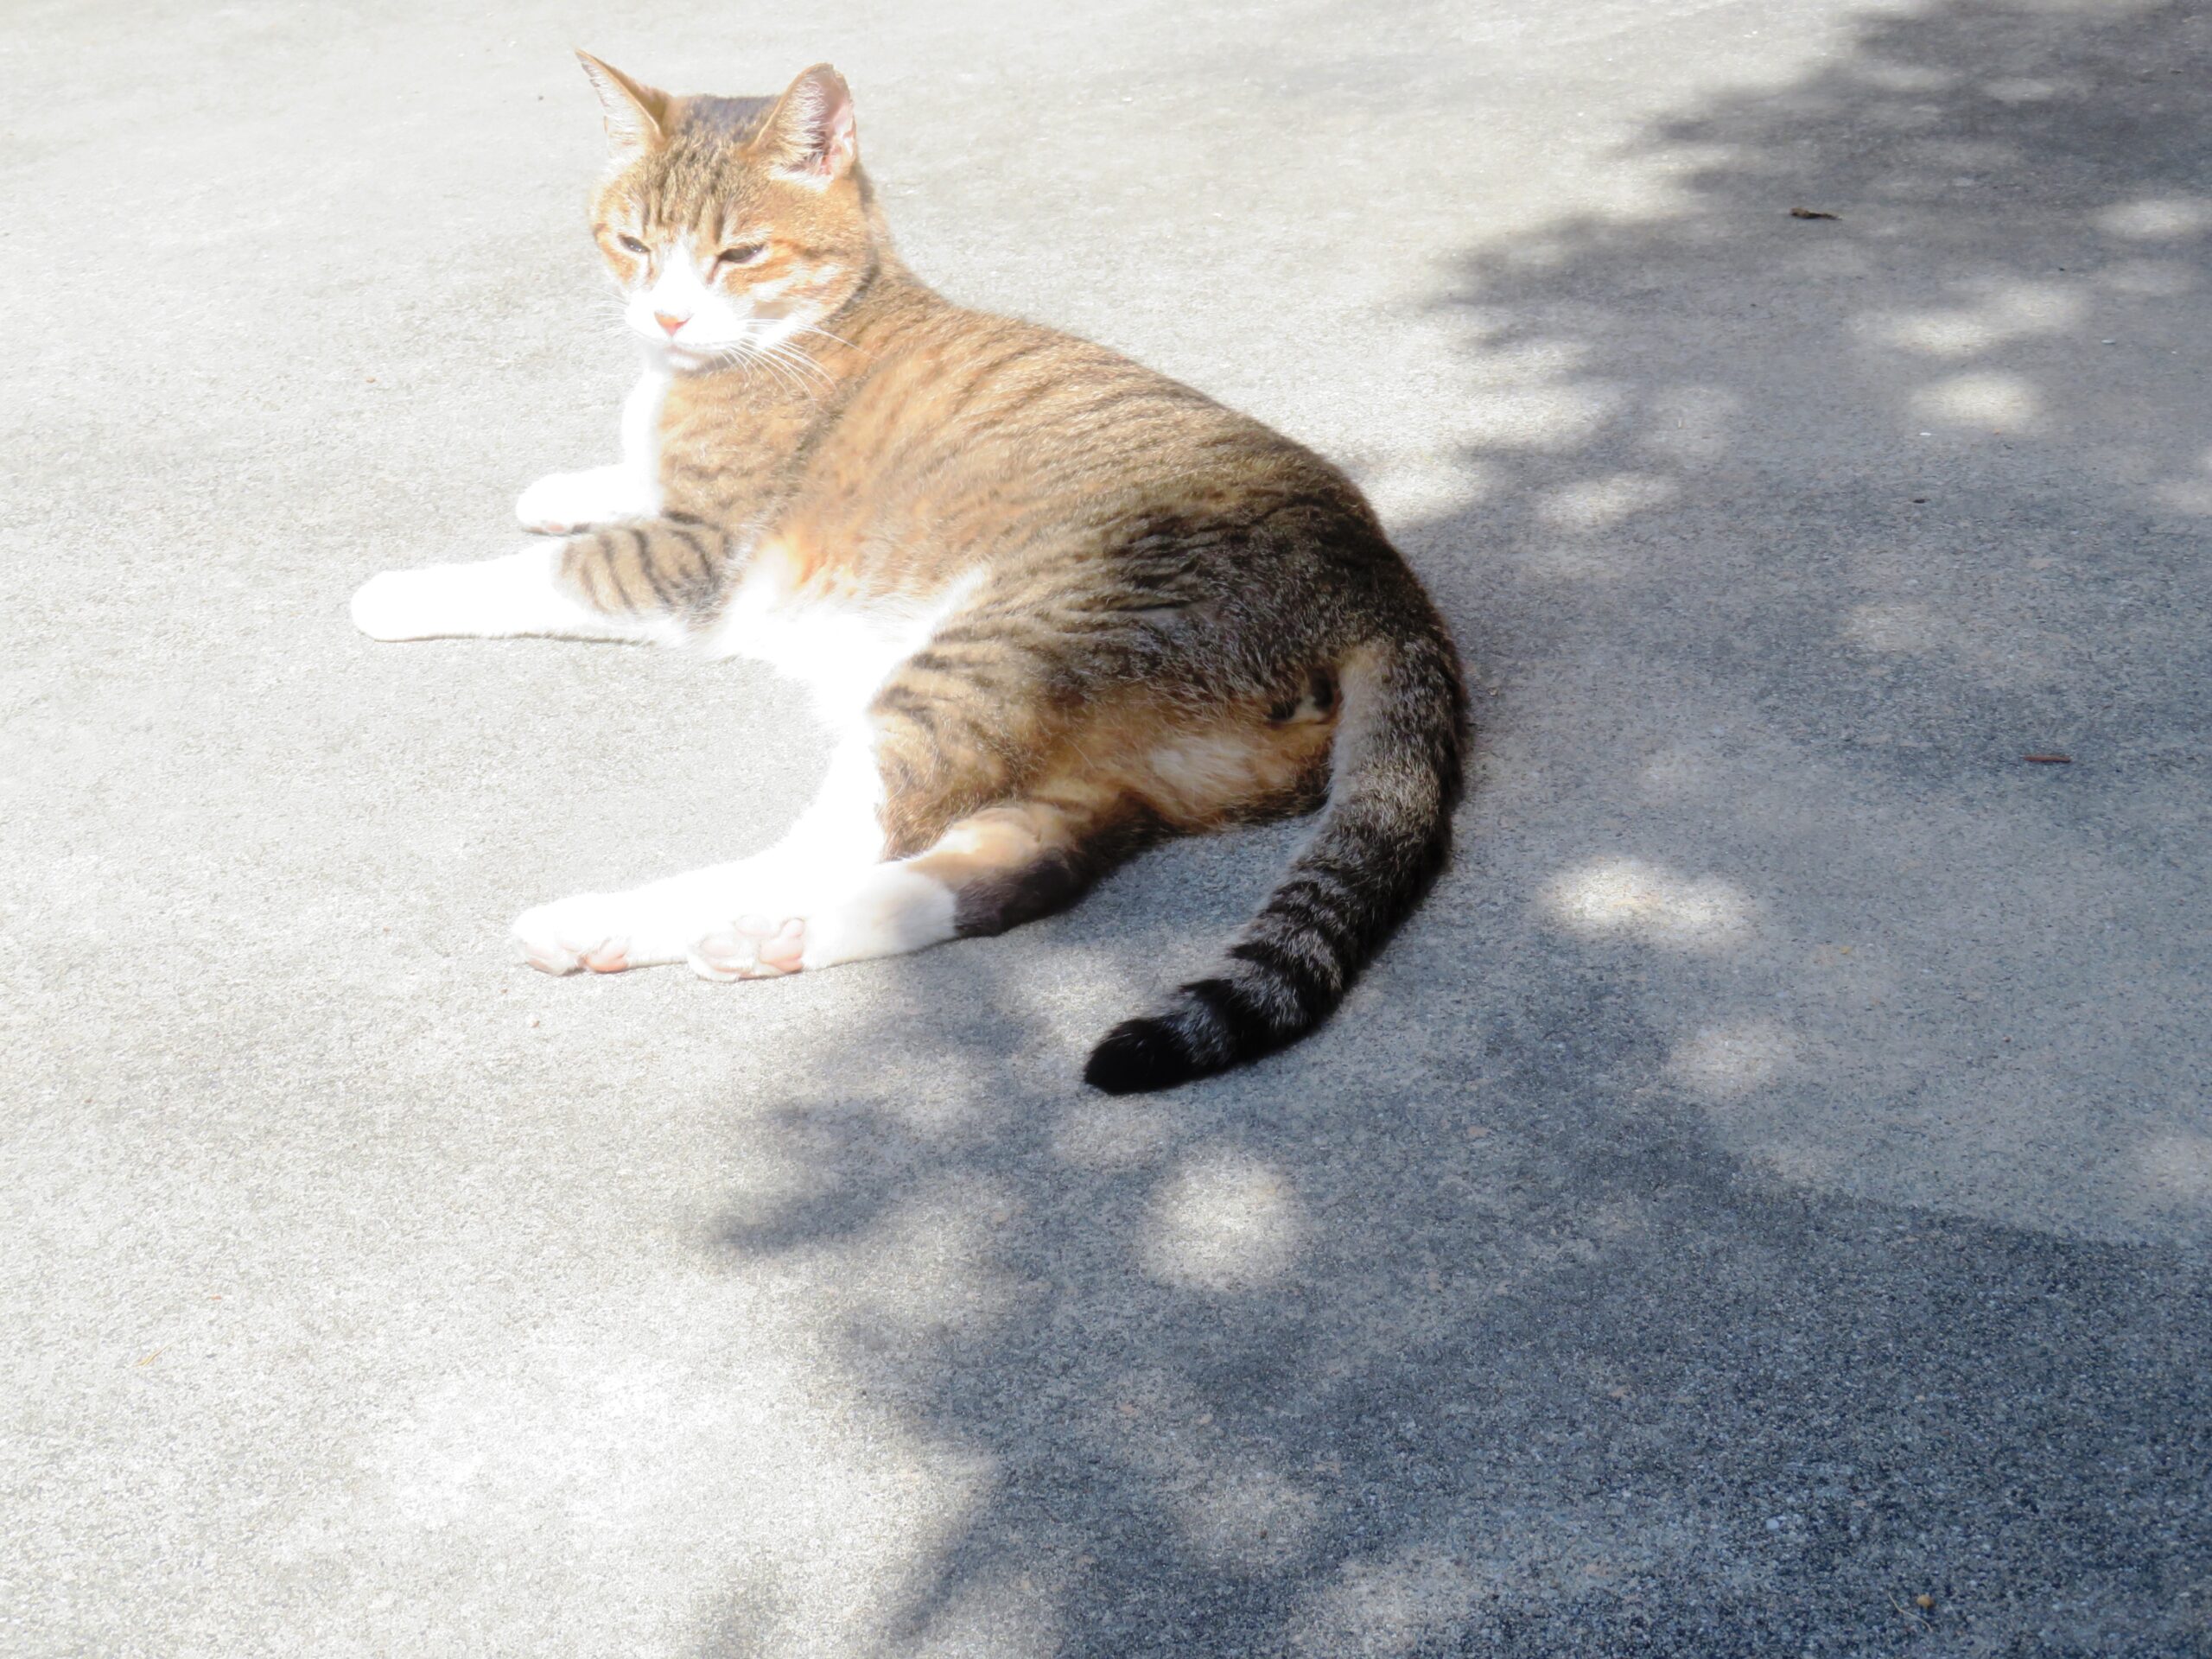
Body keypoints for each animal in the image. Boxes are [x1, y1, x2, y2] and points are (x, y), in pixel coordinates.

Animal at [349, 55, 1468, 1092]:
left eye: (739, 254)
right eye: (633, 244)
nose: (664, 318)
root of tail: (1382, 583)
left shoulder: (689, 556)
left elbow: (550, 570)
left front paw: (398, 590)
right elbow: (619, 480)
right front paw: (566, 484)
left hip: (991, 653)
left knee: (837, 840)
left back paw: (625, 919)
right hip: (1109, 761)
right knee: (1010, 875)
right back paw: (759, 938)